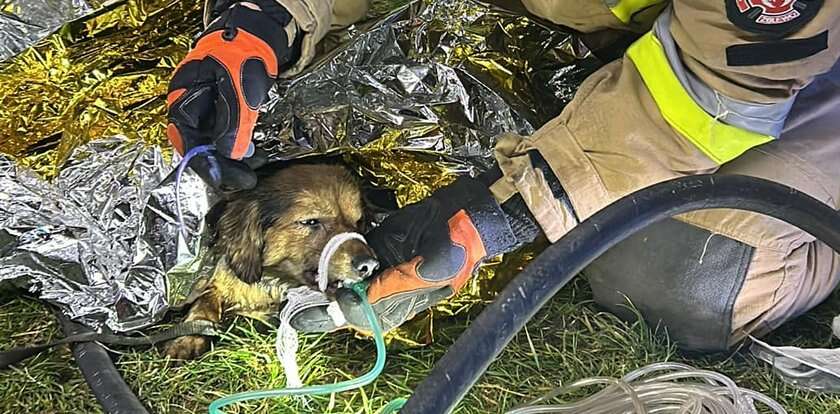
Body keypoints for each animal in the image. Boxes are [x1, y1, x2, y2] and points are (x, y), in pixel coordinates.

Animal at [167, 163, 378, 358]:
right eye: (310, 221)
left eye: (359, 221)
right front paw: (186, 339)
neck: (273, 279)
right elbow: (204, 302)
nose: (369, 265)